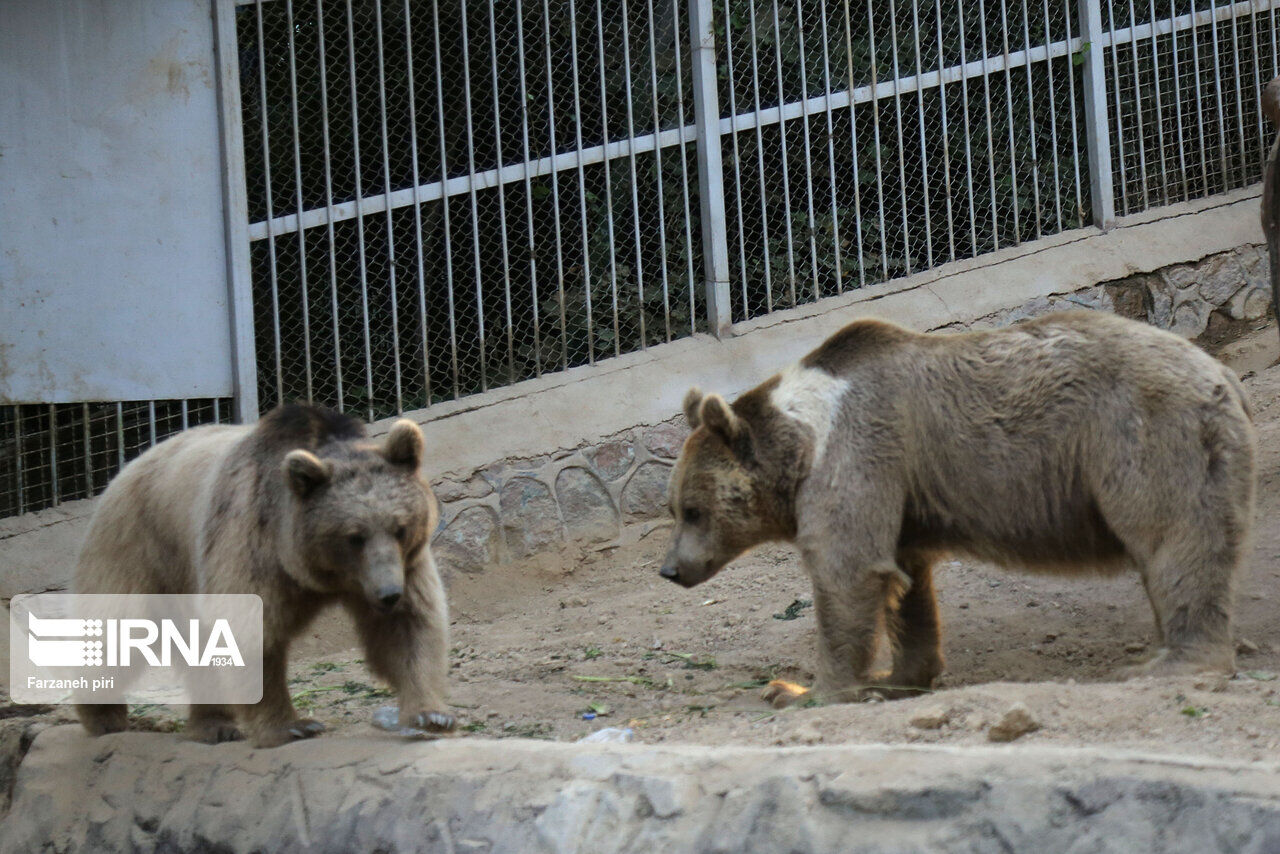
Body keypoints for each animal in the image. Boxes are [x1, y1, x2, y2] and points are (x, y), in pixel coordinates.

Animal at [74, 404, 455, 742]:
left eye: (400, 528)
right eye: (354, 536)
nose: (388, 594)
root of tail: (128, 466)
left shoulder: (404, 565)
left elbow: (409, 628)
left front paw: (431, 714)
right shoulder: (251, 545)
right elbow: (252, 634)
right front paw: (292, 726)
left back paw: (213, 725)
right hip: (141, 550)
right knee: (119, 629)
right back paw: (104, 716)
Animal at [655, 312, 1254, 706]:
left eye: (693, 509)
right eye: (674, 507)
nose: (670, 569)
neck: (802, 443)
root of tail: (1222, 374)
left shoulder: (856, 451)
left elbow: (846, 571)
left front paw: (801, 690)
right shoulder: (901, 493)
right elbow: (906, 588)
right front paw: (899, 677)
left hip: (1145, 434)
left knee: (1175, 538)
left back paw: (1168, 662)